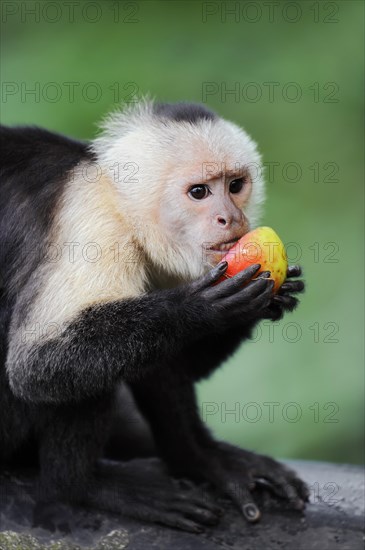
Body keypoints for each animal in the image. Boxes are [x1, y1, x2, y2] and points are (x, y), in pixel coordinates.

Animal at [0, 100, 308, 536]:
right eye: (199, 192)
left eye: (235, 185)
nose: (231, 219)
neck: (117, 203)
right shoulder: (91, 221)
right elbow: (37, 366)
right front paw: (195, 309)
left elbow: (169, 361)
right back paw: (82, 488)